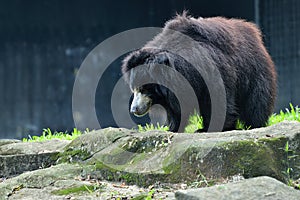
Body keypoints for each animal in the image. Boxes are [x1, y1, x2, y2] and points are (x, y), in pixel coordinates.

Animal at [121, 13, 276, 132]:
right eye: (134, 89)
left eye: (144, 89)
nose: (134, 110)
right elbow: (177, 108)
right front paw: (173, 128)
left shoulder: (211, 71)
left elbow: (220, 99)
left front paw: (218, 127)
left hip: (254, 71)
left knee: (256, 101)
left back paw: (254, 125)